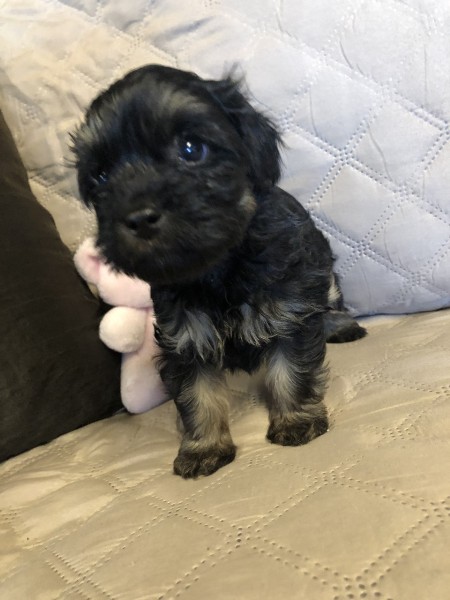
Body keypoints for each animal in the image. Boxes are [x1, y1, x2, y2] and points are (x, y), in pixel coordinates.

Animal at [71, 64, 366, 478]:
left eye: (191, 149)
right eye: (100, 175)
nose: (139, 217)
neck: (218, 267)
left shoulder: (290, 310)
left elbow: (290, 370)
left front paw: (296, 420)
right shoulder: (185, 337)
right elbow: (198, 394)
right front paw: (203, 448)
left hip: (324, 275)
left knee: (331, 302)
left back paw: (342, 326)